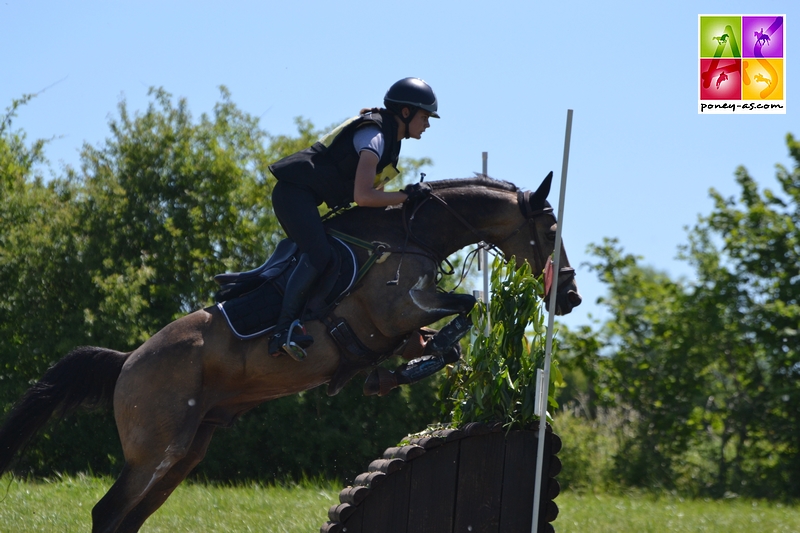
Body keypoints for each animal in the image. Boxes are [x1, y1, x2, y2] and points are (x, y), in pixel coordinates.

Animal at [0, 172, 580, 528]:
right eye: (551, 229)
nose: (570, 296)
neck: (411, 236)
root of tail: (128, 362)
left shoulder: (399, 328)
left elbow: (445, 333)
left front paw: (401, 371)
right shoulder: (399, 311)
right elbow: (470, 304)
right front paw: (416, 362)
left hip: (185, 453)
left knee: (131, 517)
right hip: (154, 450)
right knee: (107, 513)